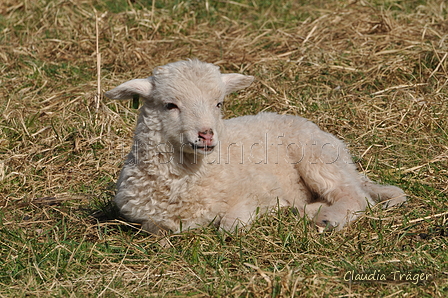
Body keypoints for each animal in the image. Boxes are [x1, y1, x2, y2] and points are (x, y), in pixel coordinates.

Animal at [105, 59, 406, 234]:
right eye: (170, 105)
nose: (206, 135)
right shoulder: (147, 218)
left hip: (316, 156)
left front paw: (268, 212)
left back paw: (327, 218)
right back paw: (309, 211)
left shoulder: (261, 189)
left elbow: (230, 226)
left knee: (357, 198)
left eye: (219, 103)